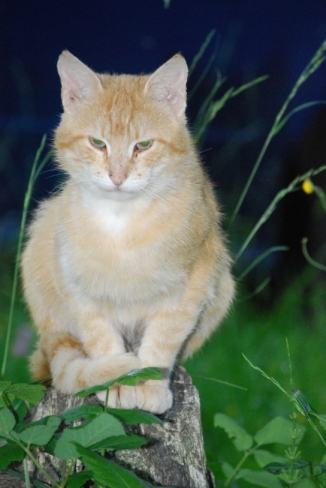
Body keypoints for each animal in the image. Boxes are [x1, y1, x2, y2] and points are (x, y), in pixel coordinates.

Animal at [21, 51, 234, 414]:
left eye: (143, 145)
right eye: (97, 143)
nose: (117, 177)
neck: (121, 224)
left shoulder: (189, 293)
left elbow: (161, 345)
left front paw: (149, 385)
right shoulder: (81, 294)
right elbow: (103, 342)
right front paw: (118, 383)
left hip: (224, 287)